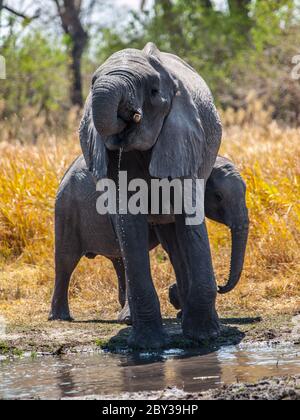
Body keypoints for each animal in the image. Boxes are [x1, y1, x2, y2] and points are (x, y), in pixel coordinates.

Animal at [49, 158, 248, 324]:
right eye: (218, 196)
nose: (221, 285)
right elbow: (171, 246)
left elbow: (177, 247)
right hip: (67, 210)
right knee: (66, 261)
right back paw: (61, 318)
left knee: (120, 261)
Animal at [78, 42, 221, 348]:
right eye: (92, 83)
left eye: (154, 92)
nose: (128, 114)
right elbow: (129, 225)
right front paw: (147, 346)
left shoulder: (184, 139)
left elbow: (190, 217)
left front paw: (205, 338)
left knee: (178, 236)